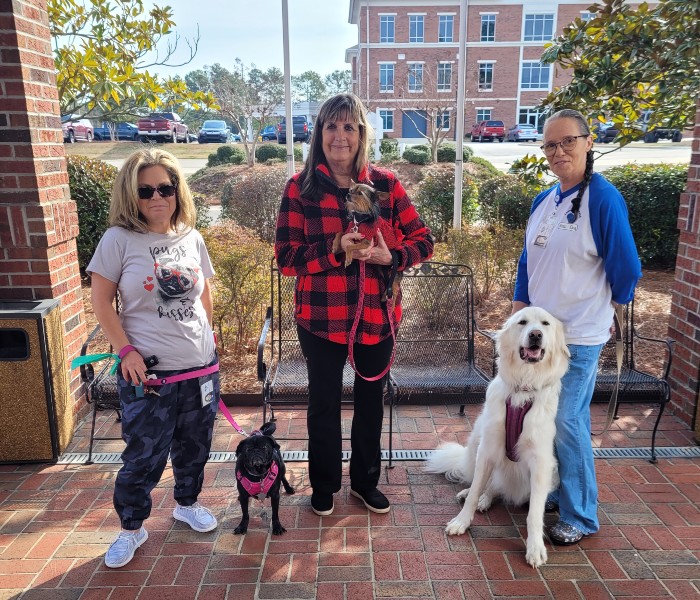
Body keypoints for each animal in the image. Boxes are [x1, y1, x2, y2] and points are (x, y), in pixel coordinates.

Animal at [426, 308, 568, 564]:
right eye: (522, 322)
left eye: (545, 324)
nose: (535, 334)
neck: (523, 388)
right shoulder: (488, 449)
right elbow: (475, 490)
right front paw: (462, 521)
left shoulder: (541, 462)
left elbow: (534, 513)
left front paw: (535, 548)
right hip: (475, 443)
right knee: (485, 484)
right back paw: (479, 496)